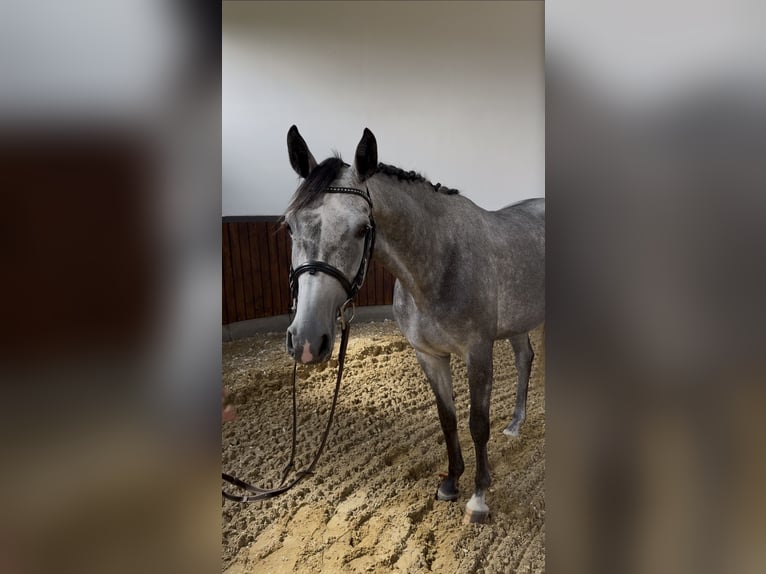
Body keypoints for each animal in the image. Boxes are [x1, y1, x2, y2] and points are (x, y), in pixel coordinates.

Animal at [282, 126, 544, 523]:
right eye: (290, 225)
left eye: (362, 229)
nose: (307, 340)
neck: (440, 262)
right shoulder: (429, 355)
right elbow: (448, 419)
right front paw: (451, 483)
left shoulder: (478, 353)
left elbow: (477, 424)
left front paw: (479, 498)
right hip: (517, 322)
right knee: (524, 358)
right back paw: (515, 425)